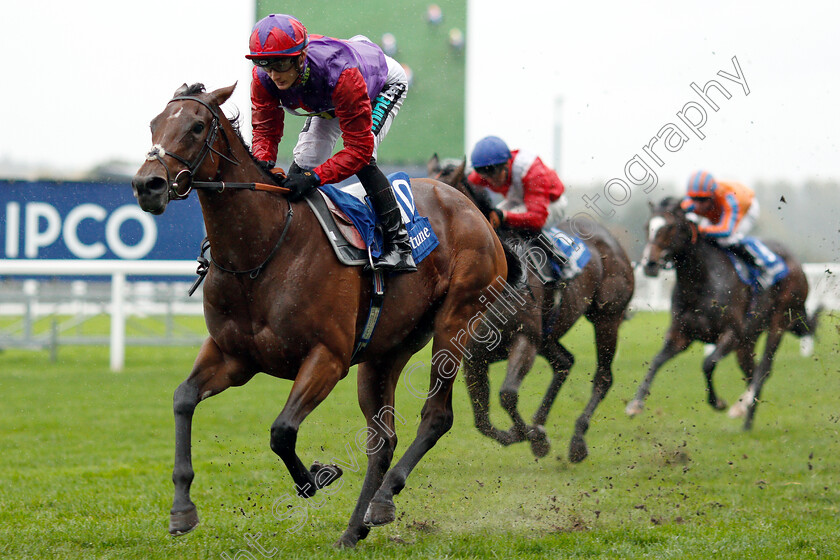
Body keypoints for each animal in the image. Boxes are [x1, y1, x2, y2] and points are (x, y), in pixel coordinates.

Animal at [133, 83, 512, 548]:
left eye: (197, 126)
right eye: (154, 123)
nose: (147, 184)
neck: (262, 249)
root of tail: (474, 212)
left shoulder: (327, 358)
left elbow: (281, 431)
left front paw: (318, 475)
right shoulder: (233, 356)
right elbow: (183, 398)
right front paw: (182, 510)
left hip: (455, 321)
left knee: (436, 416)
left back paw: (381, 499)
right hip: (385, 353)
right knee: (382, 439)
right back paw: (356, 526)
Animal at [430, 155, 632, 462]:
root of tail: (610, 238)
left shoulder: (524, 338)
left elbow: (507, 395)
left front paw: (536, 438)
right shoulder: (474, 357)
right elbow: (481, 420)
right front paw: (527, 434)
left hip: (606, 317)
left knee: (603, 377)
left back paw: (577, 440)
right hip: (549, 334)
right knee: (564, 363)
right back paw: (541, 422)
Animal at [628, 197, 816, 428]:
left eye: (669, 227)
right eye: (647, 226)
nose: (650, 264)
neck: (700, 282)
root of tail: (796, 263)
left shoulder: (731, 334)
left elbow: (708, 363)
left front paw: (718, 402)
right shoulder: (681, 336)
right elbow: (655, 362)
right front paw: (635, 404)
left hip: (779, 322)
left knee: (764, 368)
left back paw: (741, 407)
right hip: (748, 341)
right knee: (753, 371)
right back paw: (747, 423)